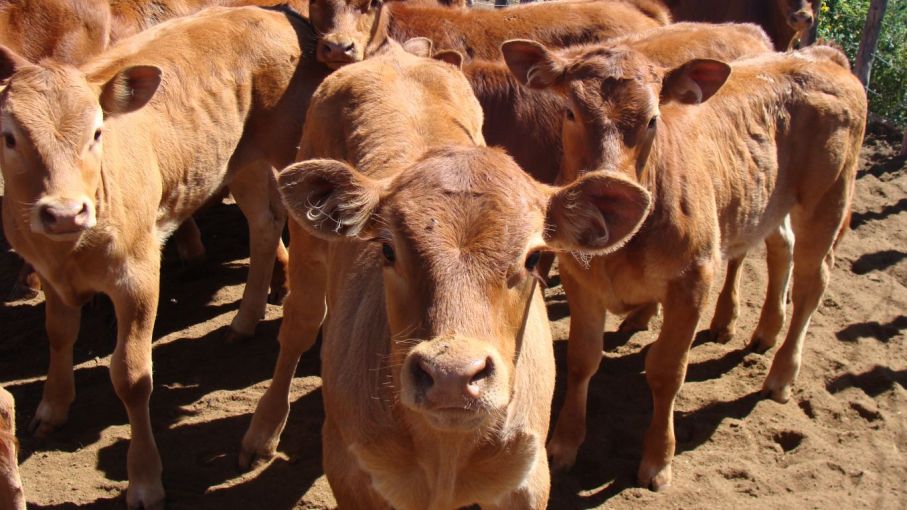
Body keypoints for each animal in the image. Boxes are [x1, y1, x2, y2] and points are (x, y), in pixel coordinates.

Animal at [0, 6, 332, 506]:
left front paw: (145, 478)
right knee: (264, 223)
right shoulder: (49, 273)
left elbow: (131, 377)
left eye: (97, 132)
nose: (64, 212)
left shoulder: (138, 275)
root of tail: (274, 13)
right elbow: (58, 334)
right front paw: (53, 406)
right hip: (239, 162)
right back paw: (245, 318)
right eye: (9, 138)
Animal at [504, 40, 864, 490]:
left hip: (827, 200)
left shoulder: (693, 280)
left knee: (811, 285)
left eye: (653, 119)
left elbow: (667, 371)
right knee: (781, 247)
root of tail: (819, 55)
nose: (608, 188)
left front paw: (658, 460)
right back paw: (765, 330)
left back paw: (781, 374)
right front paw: (565, 444)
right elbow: (583, 359)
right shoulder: (579, 278)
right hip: (771, 201)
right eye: (570, 111)